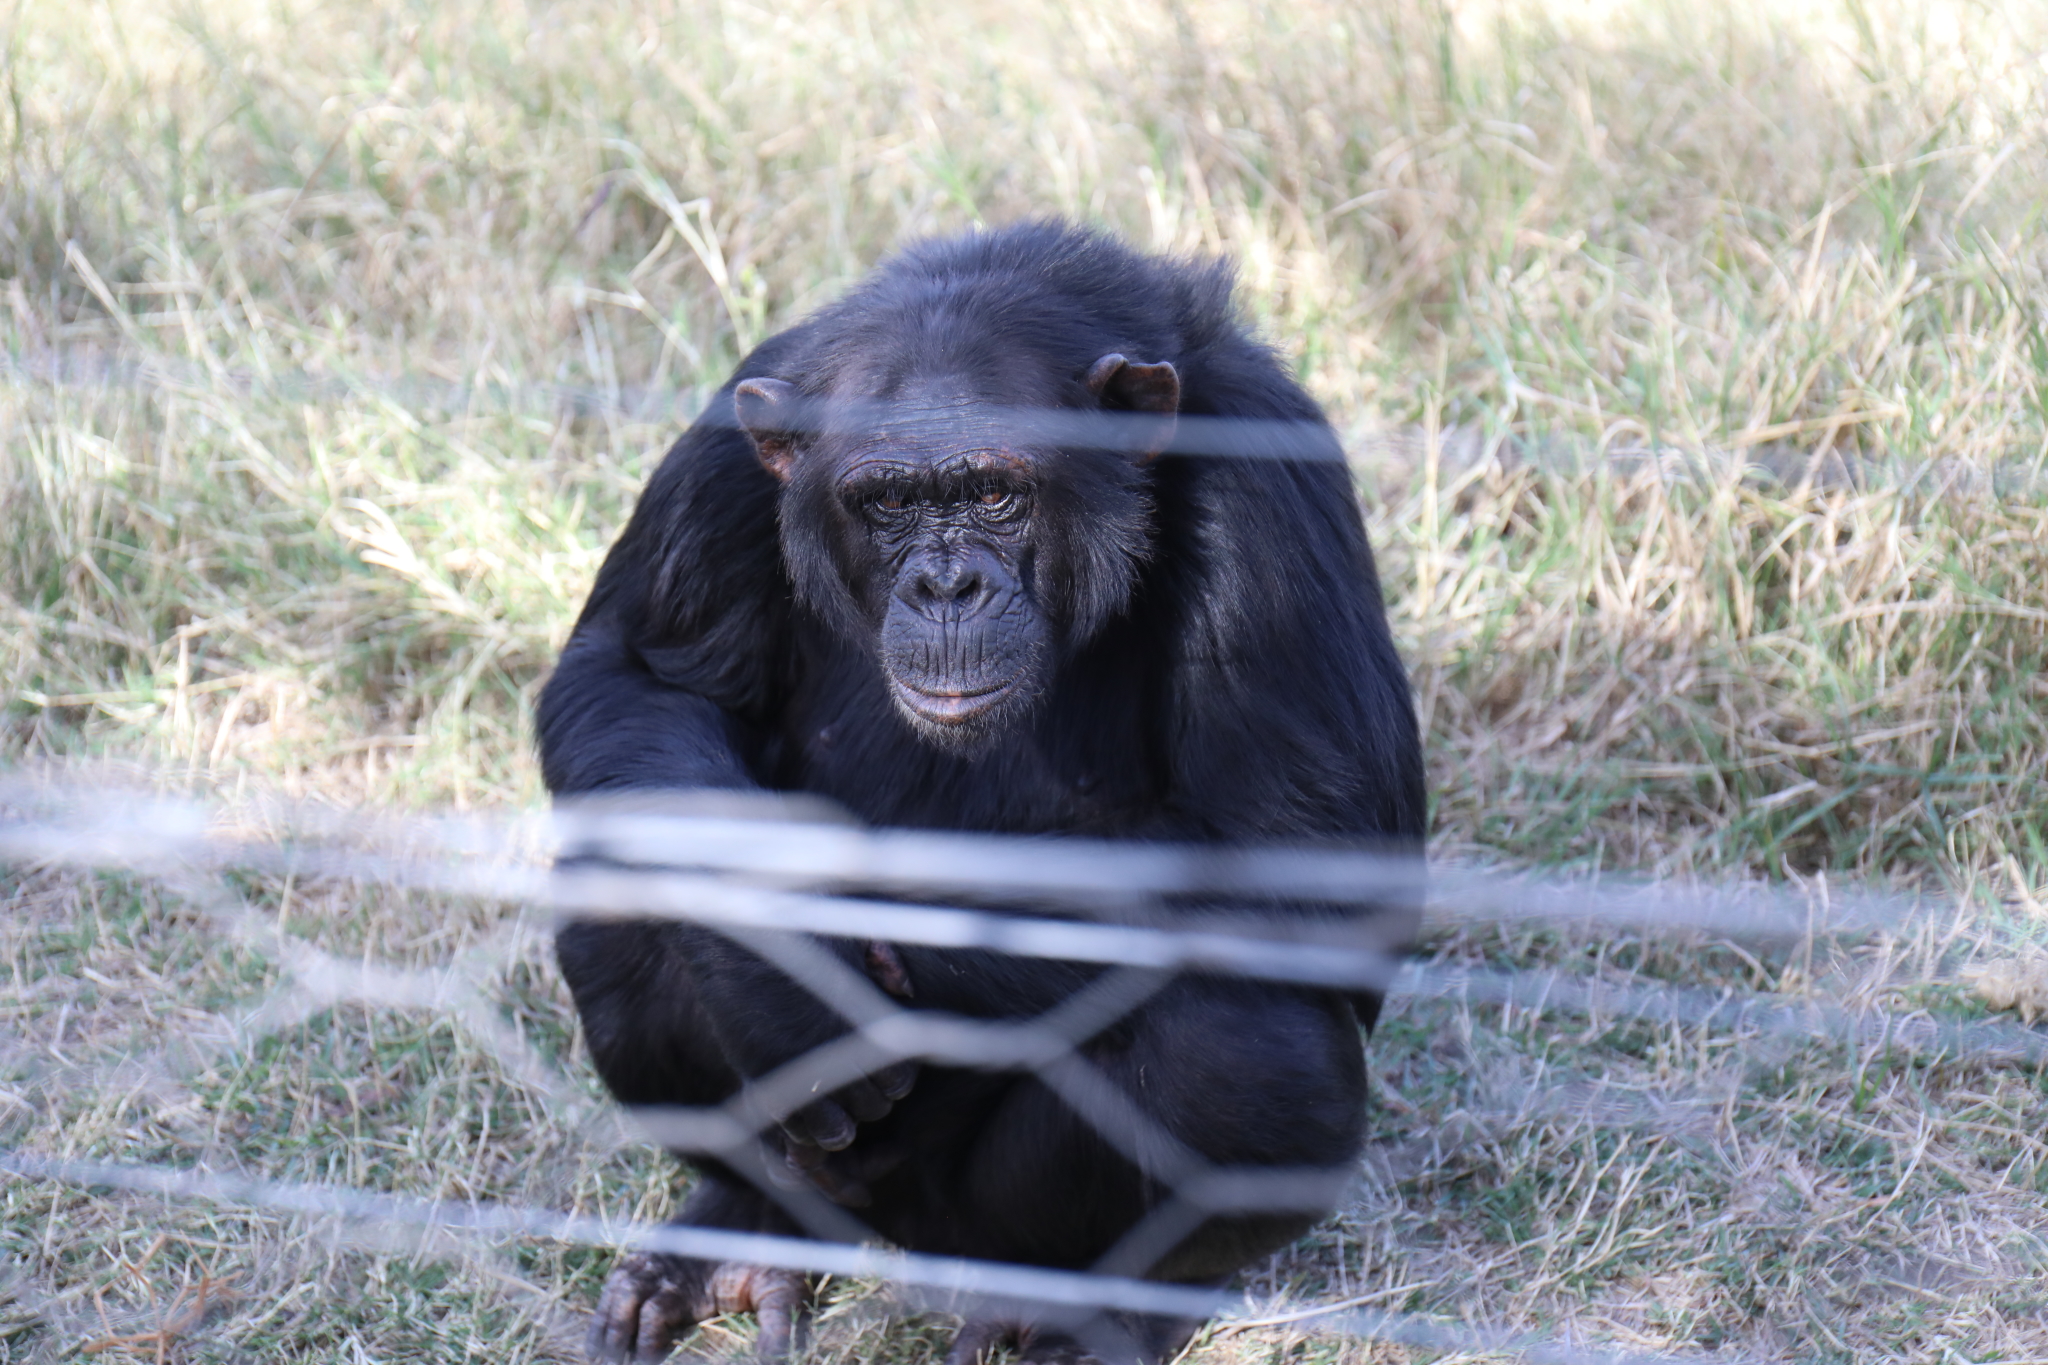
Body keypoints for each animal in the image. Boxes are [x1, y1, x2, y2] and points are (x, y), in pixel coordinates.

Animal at [532, 218, 1425, 1358]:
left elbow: (1299, 849)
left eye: (995, 493)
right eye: (887, 501)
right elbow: (634, 674)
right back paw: (745, 1229)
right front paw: (774, 960)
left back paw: (1092, 1317)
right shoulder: (722, 451)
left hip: (983, 1217)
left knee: (1245, 1051)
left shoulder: (1272, 484)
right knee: (624, 898)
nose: (945, 583)